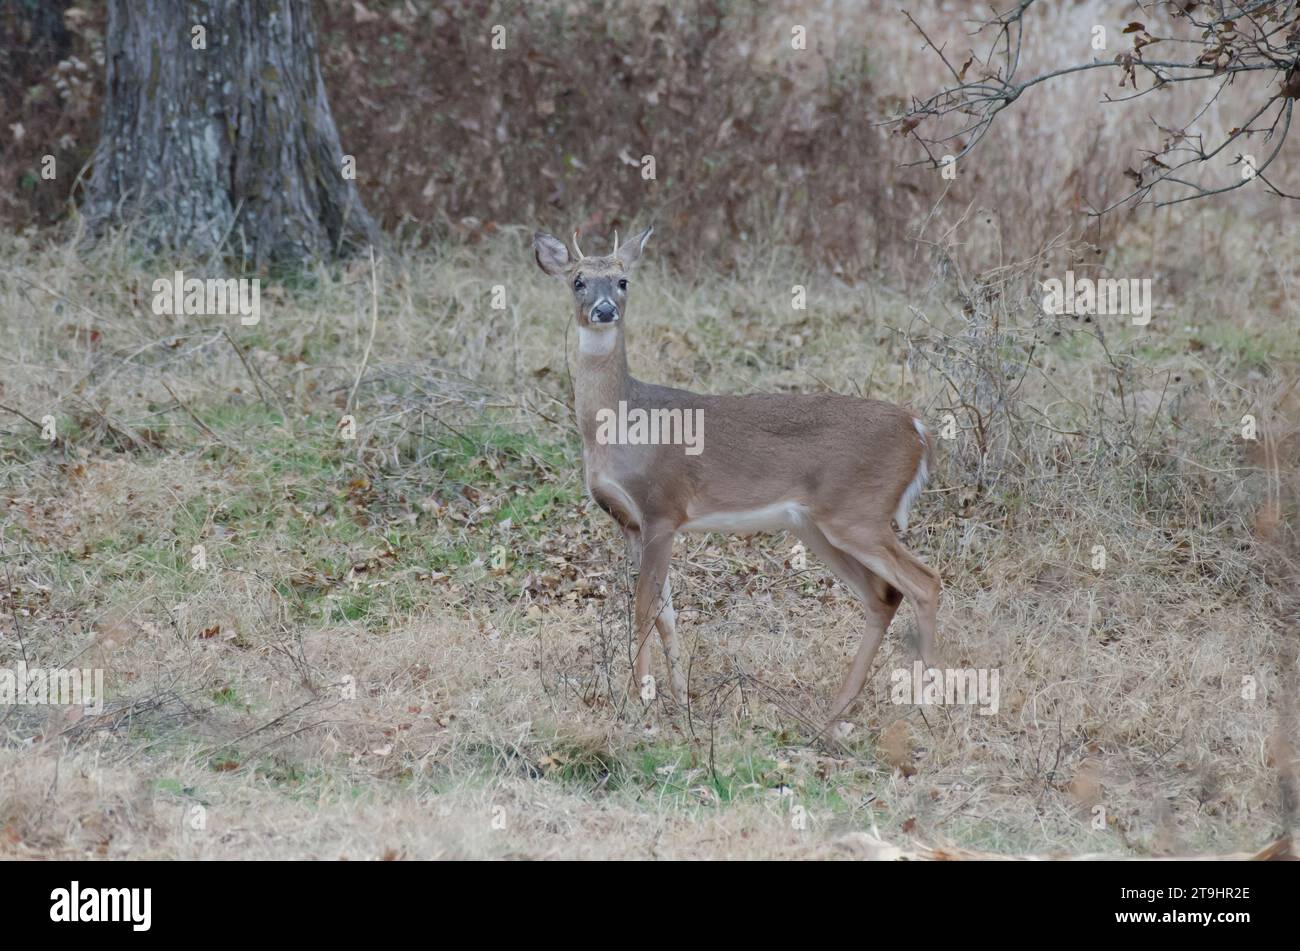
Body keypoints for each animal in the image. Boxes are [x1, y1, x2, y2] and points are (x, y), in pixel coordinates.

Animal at [533, 226, 941, 732]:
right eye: (579, 281)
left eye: (624, 281)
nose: (604, 310)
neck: (620, 422)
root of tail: (918, 430)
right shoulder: (629, 523)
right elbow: (665, 611)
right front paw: (680, 696)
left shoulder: (663, 508)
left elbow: (644, 607)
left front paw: (640, 699)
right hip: (817, 524)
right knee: (883, 596)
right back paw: (838, 707)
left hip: (858, 512)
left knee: (925, 582)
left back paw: (929, 701)